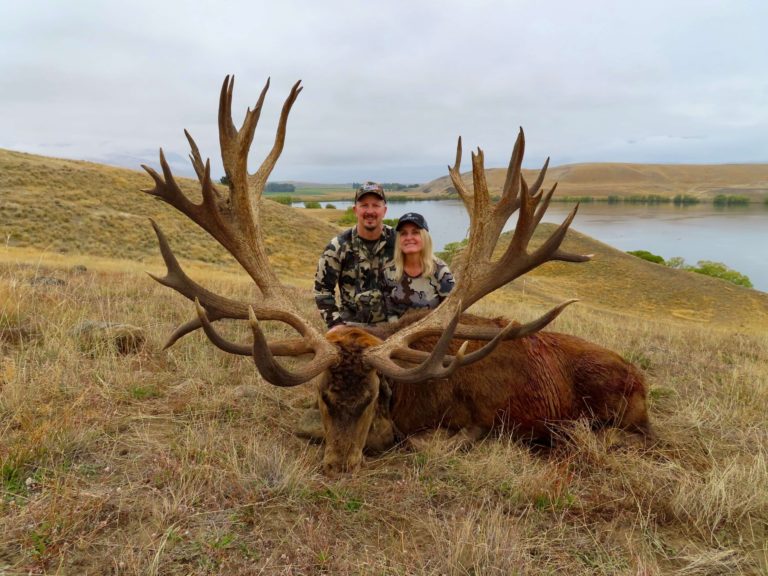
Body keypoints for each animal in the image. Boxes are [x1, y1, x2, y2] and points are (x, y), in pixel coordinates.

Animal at [141, 76, 652, 475]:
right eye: (324, 396)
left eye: (371, 398)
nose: (339, 465)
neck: (409, 400)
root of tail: (641, 378)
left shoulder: (479, 421)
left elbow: (427, 441)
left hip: (616, 412)